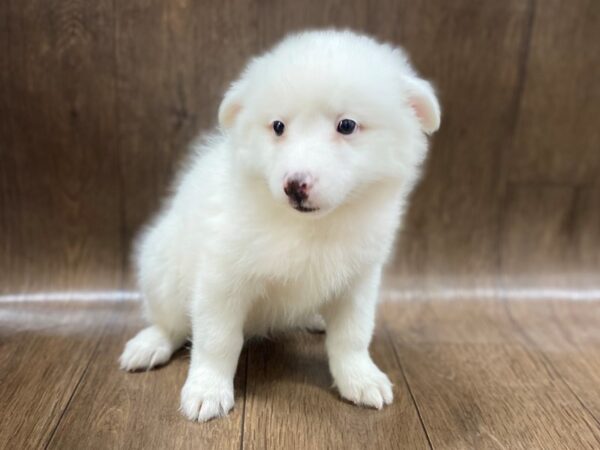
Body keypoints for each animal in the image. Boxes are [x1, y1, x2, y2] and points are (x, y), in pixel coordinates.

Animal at [120, 29, 440, 422]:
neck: (309, 228)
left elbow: (352, 335)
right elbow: (217, 339)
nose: (295, 185)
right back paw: (151, 343)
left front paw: (360, 376)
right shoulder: (222, 277)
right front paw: (208, 388)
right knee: (170, 321)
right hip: (162, 269)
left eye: (347, 125)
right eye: (278, 127)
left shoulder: (359, 279)